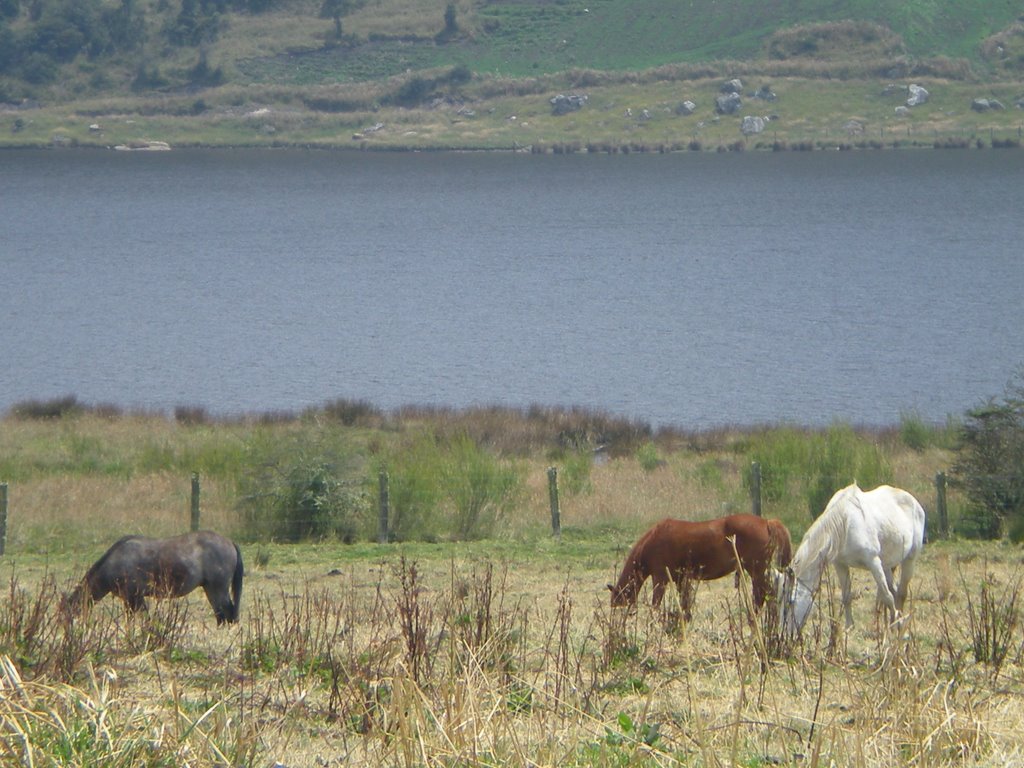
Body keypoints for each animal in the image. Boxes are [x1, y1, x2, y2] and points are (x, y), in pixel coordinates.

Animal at [67, 532, 243, 626]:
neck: (116, 560)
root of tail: (229, 542)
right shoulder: (131, 599)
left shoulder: (134, 597)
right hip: (210, 589)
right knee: (221, 615)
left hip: (218, 589)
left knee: (227, 612)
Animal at [606, 518, 790, 618]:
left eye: (619, 604)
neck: (653, 540)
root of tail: (767, 522)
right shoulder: (680, 579)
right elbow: (684, 604)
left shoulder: (660, 578)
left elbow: (656, 604)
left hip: (756, 570)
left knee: (764, 594)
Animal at [778, 487, 933, 638]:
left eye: (790, 602)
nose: (784, 634)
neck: (844, 523)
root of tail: (915, 503)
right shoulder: (840, 565)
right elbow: (847, 596)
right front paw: (849, 628)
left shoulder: (873, 562)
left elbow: (887, 596)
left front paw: (897, 627)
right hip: (886, 565)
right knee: (894, 591)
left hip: (909, 559)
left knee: (900, 593)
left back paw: (899, 626)